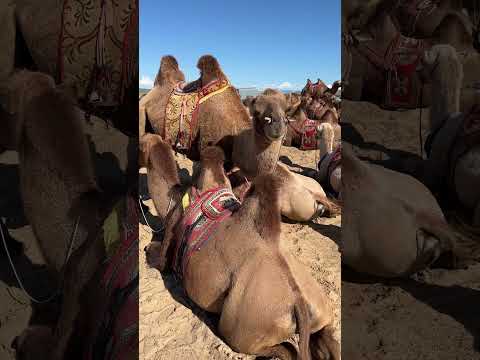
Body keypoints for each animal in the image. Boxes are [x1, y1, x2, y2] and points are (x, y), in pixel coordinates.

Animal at [144, 144, 340, 360]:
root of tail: (300, 303)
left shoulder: (174, 218)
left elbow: (161, 259)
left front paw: (150, 250)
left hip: (243, 330)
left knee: (285, 349)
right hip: (322, 315)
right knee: (328, 341)